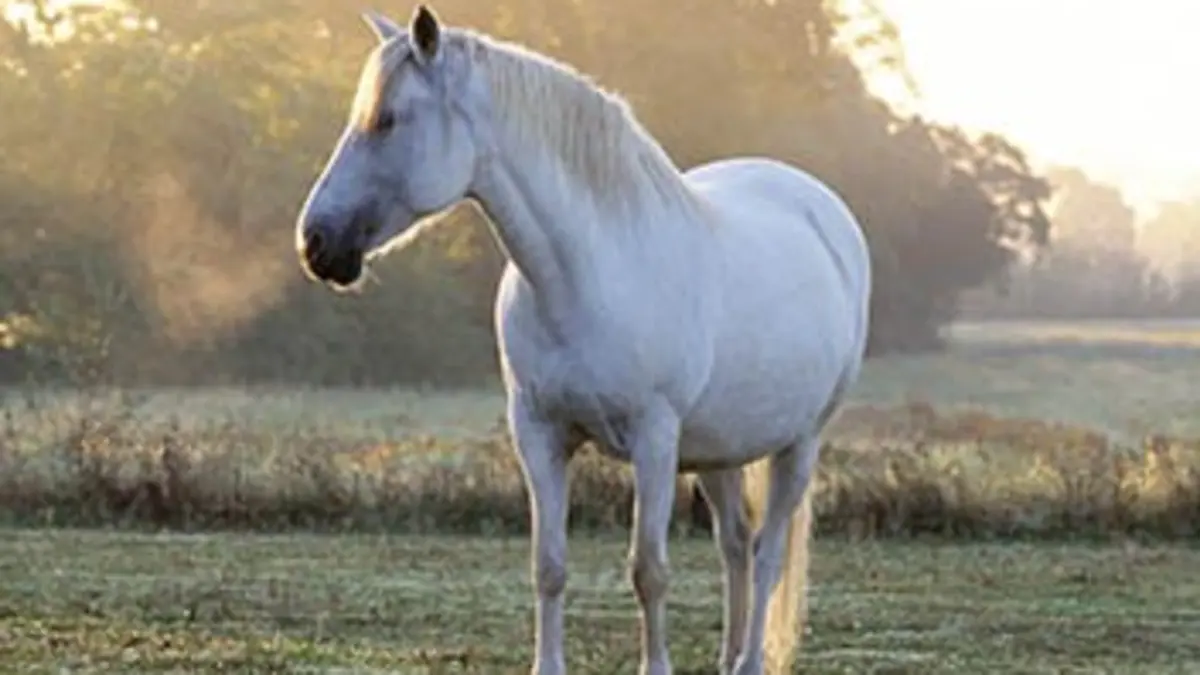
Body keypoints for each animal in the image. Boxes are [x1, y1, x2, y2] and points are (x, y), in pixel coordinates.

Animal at [294, 6, 872, 674]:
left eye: (387, 119)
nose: (315, 243)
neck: (584, 274)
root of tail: (818, 205)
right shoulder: (539, 433)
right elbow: (549, 565)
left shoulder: (654, 440)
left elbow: (649, 571)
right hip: (720, 448)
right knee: (736, 546)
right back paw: (729, 659)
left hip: (798, 445)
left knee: (769, 553)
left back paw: (750, 660)